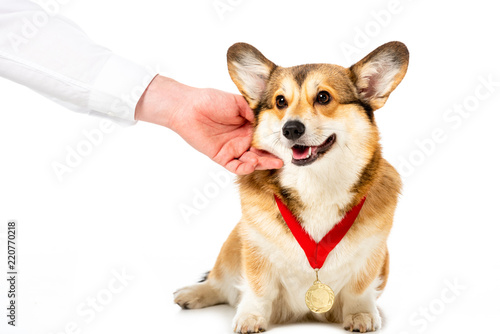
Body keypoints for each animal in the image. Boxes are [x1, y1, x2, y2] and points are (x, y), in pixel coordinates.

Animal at [174, 40, 408, 332]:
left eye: (323, 97)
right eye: (280, 101)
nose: (291, 129)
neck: (314, 182)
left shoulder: (372, 252)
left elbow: (360, 288)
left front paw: (360, 314)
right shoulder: (256, 247)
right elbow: (257, 288)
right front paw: (251, 317)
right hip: (233, 241)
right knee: (219, 283)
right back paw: (192, 293)